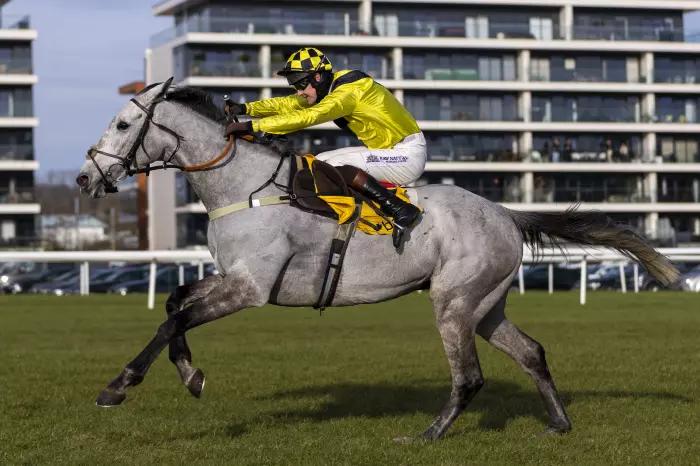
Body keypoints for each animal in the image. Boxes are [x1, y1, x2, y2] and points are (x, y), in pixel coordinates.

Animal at [75, 81, 680, 440]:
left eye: (124, 126)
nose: (85, 177)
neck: (244, 188)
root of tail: (507, 213)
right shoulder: (231, 278)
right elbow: (174, 303)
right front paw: (191, 375)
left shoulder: (251, 288)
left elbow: (172, 319)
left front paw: (118, 385)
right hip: (486, 304)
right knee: (530, 352)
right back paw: (558, 421)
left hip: (453, 302)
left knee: (469, 376)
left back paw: (432, 433)